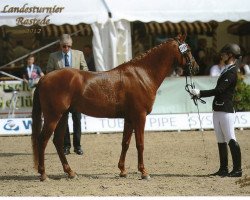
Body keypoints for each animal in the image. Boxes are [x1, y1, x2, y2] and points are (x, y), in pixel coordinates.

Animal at [31, 34, 199, 181]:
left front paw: (123, 171)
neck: (142, 74)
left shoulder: (129, 119)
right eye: (189, 49)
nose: (196, 67)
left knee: (57, 142)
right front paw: (144, 172)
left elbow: (125, 143)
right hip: (53, 116)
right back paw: (43, 174)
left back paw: (70, 173)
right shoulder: (140, 116)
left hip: (63, 116)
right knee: (42, 140)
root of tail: (44, 78)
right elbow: (140, 144)